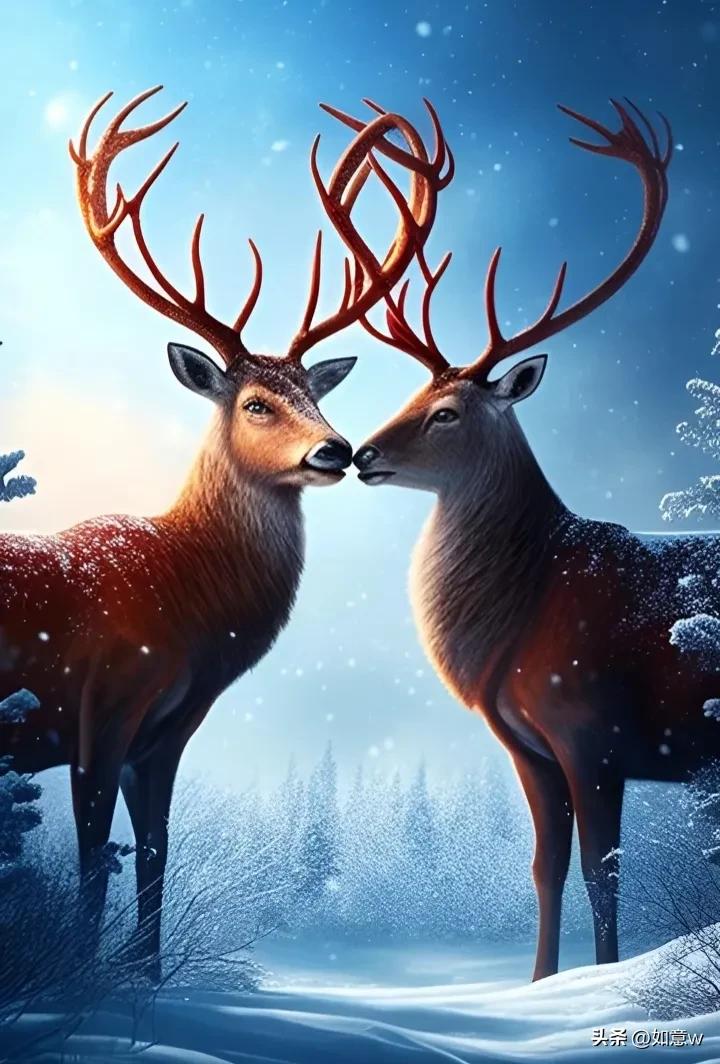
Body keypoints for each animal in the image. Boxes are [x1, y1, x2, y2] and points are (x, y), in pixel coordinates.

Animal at [0, 86, 450, 979]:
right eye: (255, 403)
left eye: (313, 392)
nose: (337, 449)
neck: (185, 606)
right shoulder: (99, 706)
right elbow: (94, 861)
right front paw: (81, 981)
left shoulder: (168, 729)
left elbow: (155, 853)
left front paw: (142, 978)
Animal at [349, 98, 720, 980]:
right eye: (413, 393)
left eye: (448, 413)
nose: (362, 453)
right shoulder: (528, 743)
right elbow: (545, 867)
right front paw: (537, 984)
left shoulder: (592, 730)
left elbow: (601, 872)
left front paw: (599, 983)